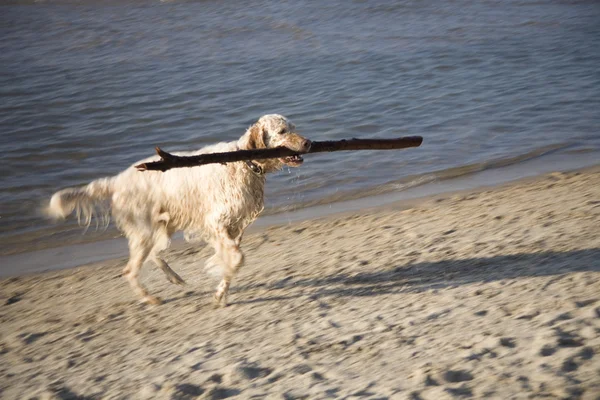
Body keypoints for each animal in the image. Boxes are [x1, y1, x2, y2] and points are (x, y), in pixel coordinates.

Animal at [48, 115, 312, 306]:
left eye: (294, 127)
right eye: (282, 131)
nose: (308, 143)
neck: (245, 162)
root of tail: (116, 181)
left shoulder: (233, 228)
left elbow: (233, 258)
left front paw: (220, 291)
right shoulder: (216, 223)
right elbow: (237, 258)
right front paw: (218, 272)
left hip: (162, 226)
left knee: (153, 255)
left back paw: (173, 277)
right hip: (145, 231)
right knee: (130, 271)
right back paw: (150, 298)